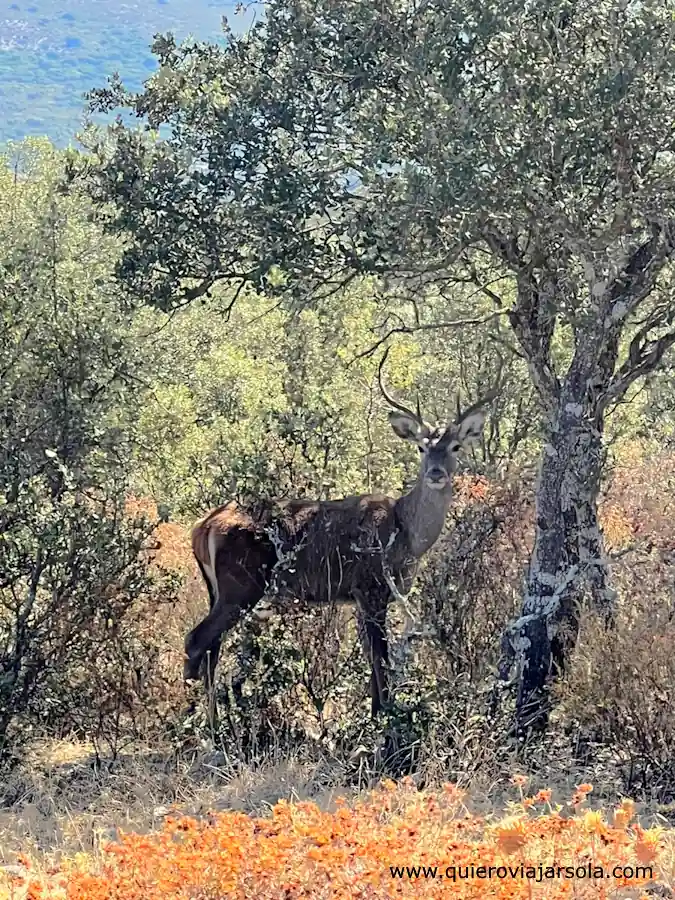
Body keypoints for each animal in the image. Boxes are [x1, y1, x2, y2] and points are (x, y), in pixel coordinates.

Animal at [185, 354, 496, 716]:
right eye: (421, 448)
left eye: (456, 446)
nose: (435, 473)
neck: (408, 535)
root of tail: (203, 526)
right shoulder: (372, 586)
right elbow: (381, 660)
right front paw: (383, 718)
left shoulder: (361, 596)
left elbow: (371, 660)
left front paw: (375, 711)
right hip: (241, 585)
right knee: (197, 642)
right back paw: (207, 723)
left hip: (218, 590)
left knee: (211, 649)